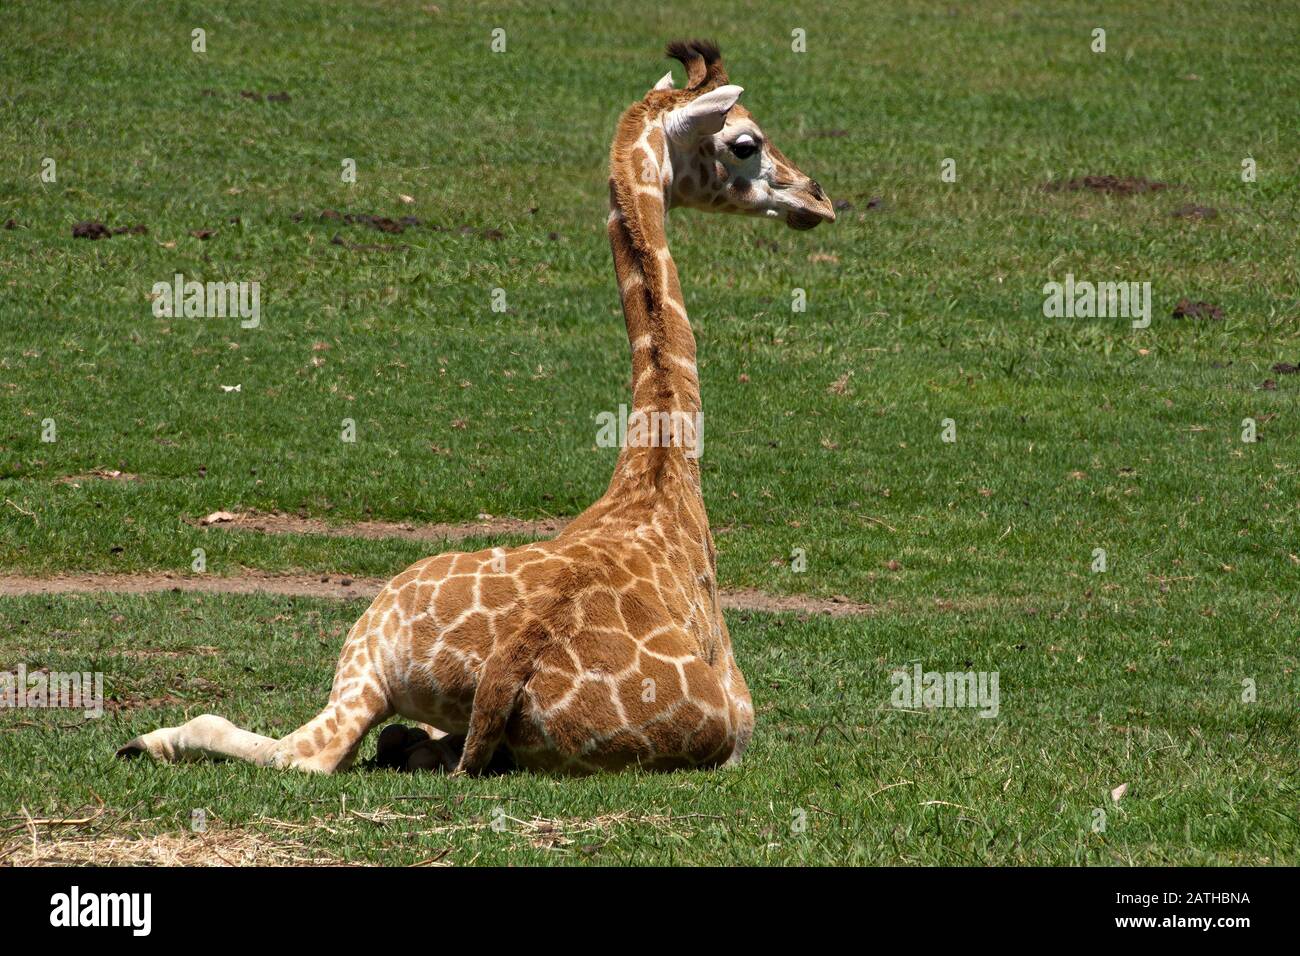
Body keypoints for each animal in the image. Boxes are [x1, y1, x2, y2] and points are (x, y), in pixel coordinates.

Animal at [117, 40, 835, 776]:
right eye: (746, 142)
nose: (819, 198)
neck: (659, 471)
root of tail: (506, 666)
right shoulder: (742, 725)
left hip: (371, 645)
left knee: (309, 746)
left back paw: (150, 739)